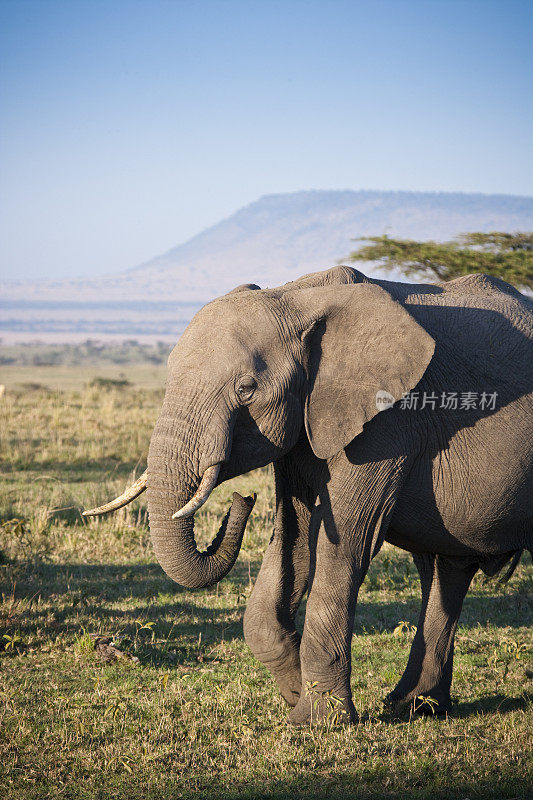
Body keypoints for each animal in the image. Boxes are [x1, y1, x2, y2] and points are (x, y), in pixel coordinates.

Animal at [85, 266, 528, 720]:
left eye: (246, 389)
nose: (243, 500)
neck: (297, 297)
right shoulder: (304, 422)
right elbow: (292, 536)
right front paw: (298, 694)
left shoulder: (388, 422)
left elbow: (346, 543)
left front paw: (318, 719)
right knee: (446, 570)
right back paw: (415, 707)